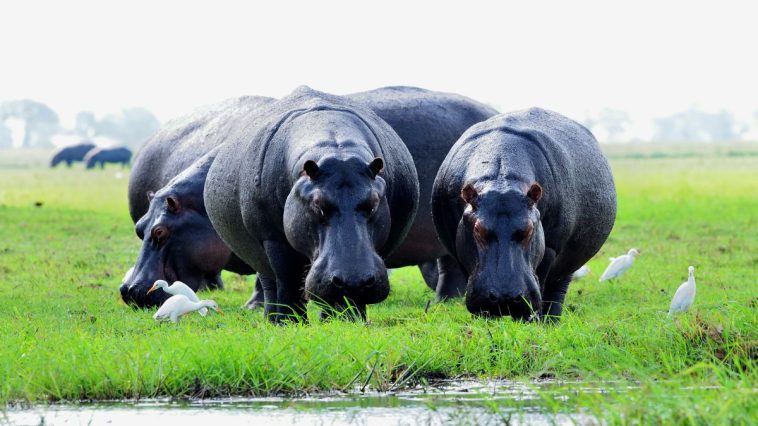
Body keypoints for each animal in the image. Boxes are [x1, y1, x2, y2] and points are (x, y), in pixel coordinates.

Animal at [204, 86, 420, 322]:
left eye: (373, 203)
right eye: (318, 205)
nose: (353, 280)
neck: (336, 149)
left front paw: (349, 321)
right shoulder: (274, 239)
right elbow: (288, 280)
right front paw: (290, 323)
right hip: (260, 251)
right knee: (271, 284)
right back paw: (272, 319)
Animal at [432, 108, 616, 321]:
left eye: (529, 229)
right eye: (477, 230)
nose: (505, 297)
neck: (501, 179)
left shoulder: (551, 247)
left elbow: (542, 282)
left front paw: (533, 321)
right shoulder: (458, 246)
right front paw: (483, 322)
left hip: (569, 258)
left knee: (556, 291)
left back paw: (550, 321)